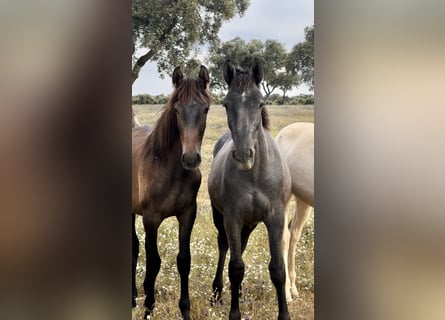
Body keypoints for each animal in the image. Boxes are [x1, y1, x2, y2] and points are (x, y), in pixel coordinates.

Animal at [131, 64, 211, 318]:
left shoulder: (187, 214)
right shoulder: (150, 218)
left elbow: (184, 260)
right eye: (176, 110)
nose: (191, 159)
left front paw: (185, 310)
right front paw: (148, 308)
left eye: (206, 109)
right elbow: (154, 261)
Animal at [207, 58, 292, 320]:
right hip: (222, 218)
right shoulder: (232, 217)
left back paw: (242, 294)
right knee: (224, 247)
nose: (244, 155)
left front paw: (284, 315)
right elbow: (235, 268)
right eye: (225, 104)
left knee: (241, 247)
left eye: (260, 103)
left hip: (250, 223)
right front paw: (235, 313)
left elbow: (278, 269)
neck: (255, 175)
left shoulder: (275, 218)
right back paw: (217, 293)